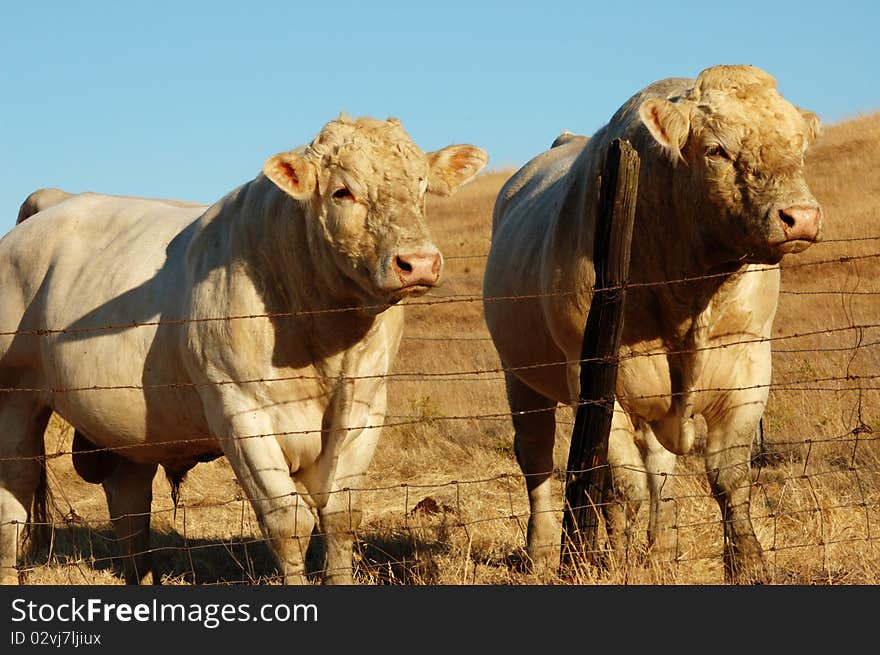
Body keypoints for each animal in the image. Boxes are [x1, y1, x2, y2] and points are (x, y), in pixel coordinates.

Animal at [484, 65, 820, 584]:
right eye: (716, 150)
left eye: (800, 146)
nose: (799, 217)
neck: (693, 293)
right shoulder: (601, 378)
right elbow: (627, 487)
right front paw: (619, 564)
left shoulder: (748, 365)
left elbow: (728, 477)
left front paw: (748, 562)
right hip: (521, 377)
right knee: (537, 461)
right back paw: (541, 551)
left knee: (656, 468)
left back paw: (661, 547)